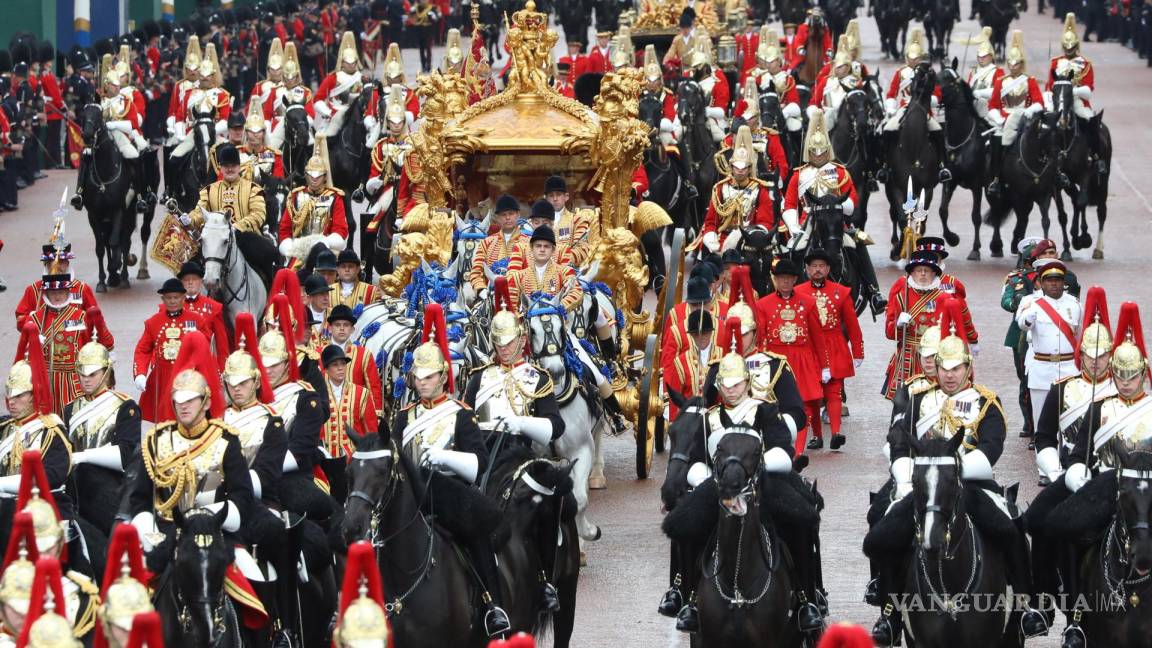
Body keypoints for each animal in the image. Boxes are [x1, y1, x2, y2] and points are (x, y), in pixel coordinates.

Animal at [77, 102, 139, 290]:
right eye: (82, 115)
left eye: (99, 116)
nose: (87, 136)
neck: (104, 174)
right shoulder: (93, 214)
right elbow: (100, 247)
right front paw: (103, 280)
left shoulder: (118, 209)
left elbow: (116, 242)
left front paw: (116, 268)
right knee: (107, 242)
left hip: (128, 215)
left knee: (124, 242)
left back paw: (123, 276)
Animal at [935, 60, 990, 257]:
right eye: (936, 76)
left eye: (950, 80)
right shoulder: (949, 181)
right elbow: (942, 211)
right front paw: (952, 238)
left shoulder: (976, 185)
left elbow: (976, 216)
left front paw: (975, 249)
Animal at [1050, 77, 1110, 262]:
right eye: (1054, 92)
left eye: (1070, 93)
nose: (1061, 121)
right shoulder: (1058, 184)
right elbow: (1063, 214)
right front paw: (1067, 248)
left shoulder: (1086, 175)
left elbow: (1083, 201)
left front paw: (1082, 237)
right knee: (1076, 200)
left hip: (1103, 181)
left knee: (1101, 210)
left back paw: (1097, 248)